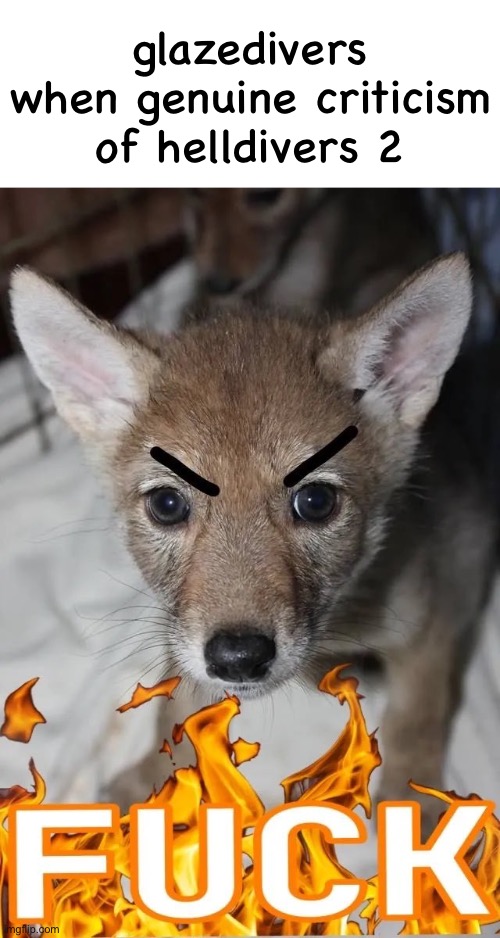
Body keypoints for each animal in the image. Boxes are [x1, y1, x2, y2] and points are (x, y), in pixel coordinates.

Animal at [9, 254, 500, 830]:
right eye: (167, 504)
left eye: (316, 501)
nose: (238, 658)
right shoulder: (183, 635)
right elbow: (174, 711)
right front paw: (149, 784)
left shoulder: (430, 626)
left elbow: (417, 720)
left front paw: (416, 805)